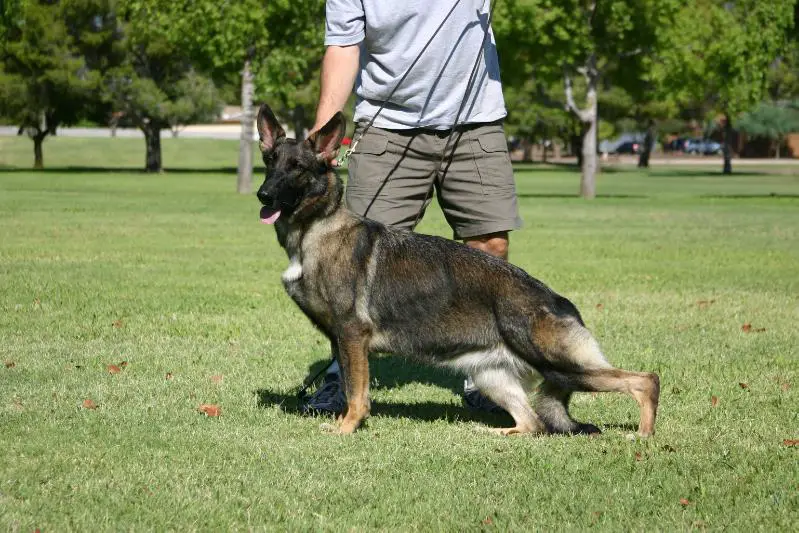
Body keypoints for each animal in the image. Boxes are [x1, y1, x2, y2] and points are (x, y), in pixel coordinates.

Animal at [258, 104, 664, 436]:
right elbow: (344, 382)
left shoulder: (352, 336)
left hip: (560, 363)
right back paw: (496, 433)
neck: (316, 228)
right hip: (493, 376)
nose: (263, 195)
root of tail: (561, 302)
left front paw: (347, 428)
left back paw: (642, 435)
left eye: (297, 168)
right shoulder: (340, 340)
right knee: (532, 424)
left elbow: (357, 392)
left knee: (646, 380)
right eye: (270, 162)